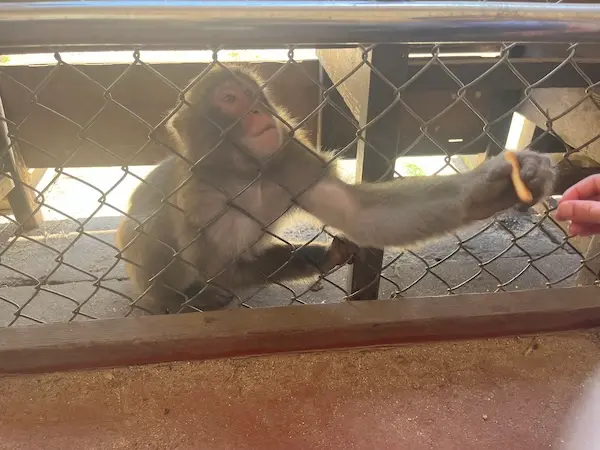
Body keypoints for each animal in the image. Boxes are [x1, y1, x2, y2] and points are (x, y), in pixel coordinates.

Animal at [115, 65, 556, 314]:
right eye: (229, 99)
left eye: (253, 95)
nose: (256, 111)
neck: (246, 172)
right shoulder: (201, 198)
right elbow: (221, 268)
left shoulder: (292, 157)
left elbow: (359, 213)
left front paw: (497, 187)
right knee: (146, 227)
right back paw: (171, 300)